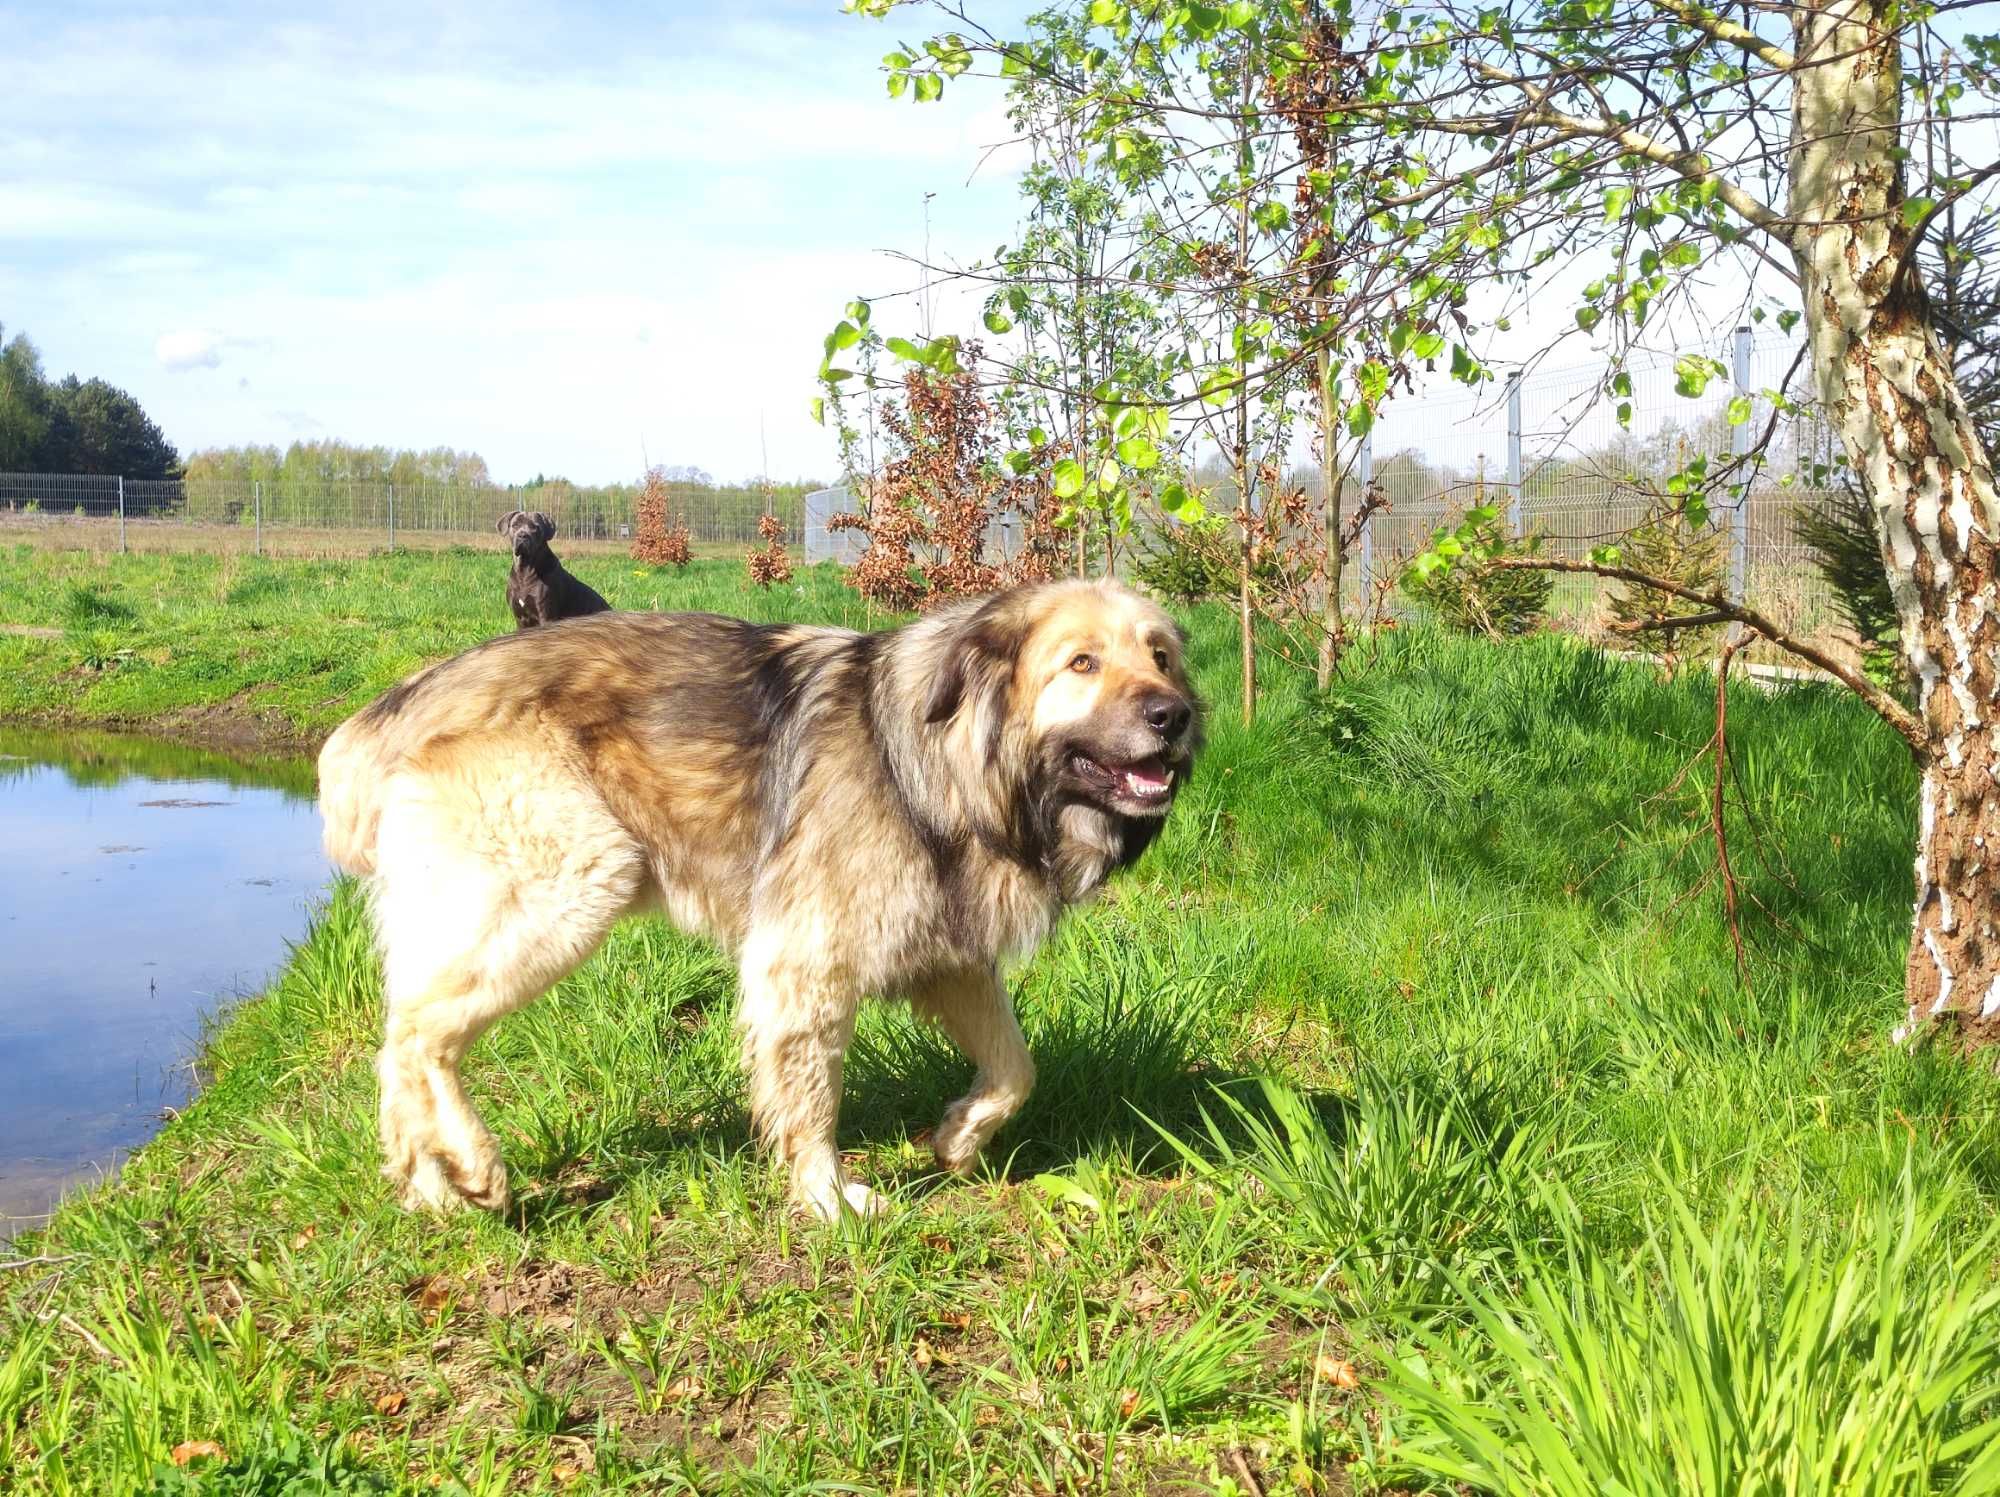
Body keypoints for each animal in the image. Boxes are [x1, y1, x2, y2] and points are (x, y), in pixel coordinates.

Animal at [316, 580, 1200, 1224]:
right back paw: (475, 1165)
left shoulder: (947, 953)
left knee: (399, 1046)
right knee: (417, 1037)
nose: (1176, 714)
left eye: (1159, 655)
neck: (934, 760)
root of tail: (400, 701)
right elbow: (811, 1099)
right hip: (568, 886)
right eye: (1081, 663)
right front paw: (827, 1199)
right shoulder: (807, 964)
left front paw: (957, 1138)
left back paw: (432, 1188)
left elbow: (1017, 1067)